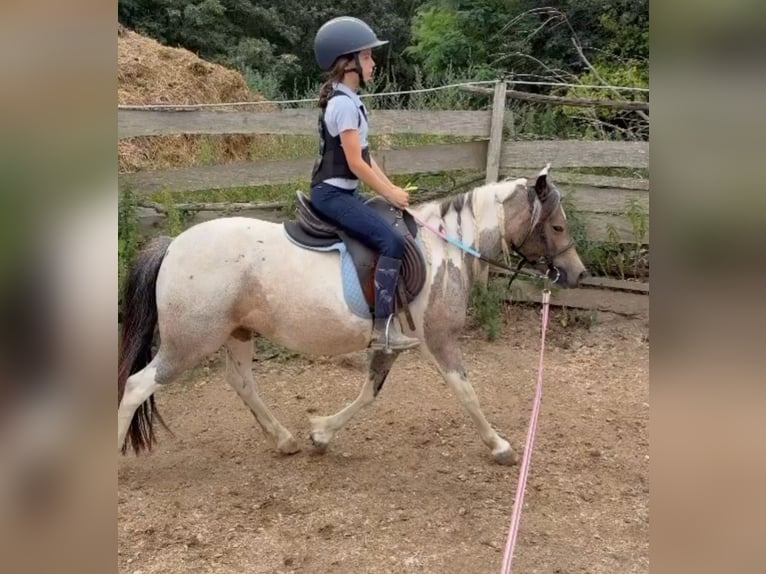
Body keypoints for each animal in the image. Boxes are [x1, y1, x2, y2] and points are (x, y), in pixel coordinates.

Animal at [117, 166, 587, 465]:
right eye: (558, 226)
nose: (577, 273)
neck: (443, 248)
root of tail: (173, 245)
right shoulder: (439, 340)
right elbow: (466, 393)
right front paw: (500, 446)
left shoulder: (392, 344)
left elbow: (368, 393)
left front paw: (321, 433)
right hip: (189, 343)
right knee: (137, 385)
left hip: (238, 332)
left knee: (241, 382)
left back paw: (284, 440)